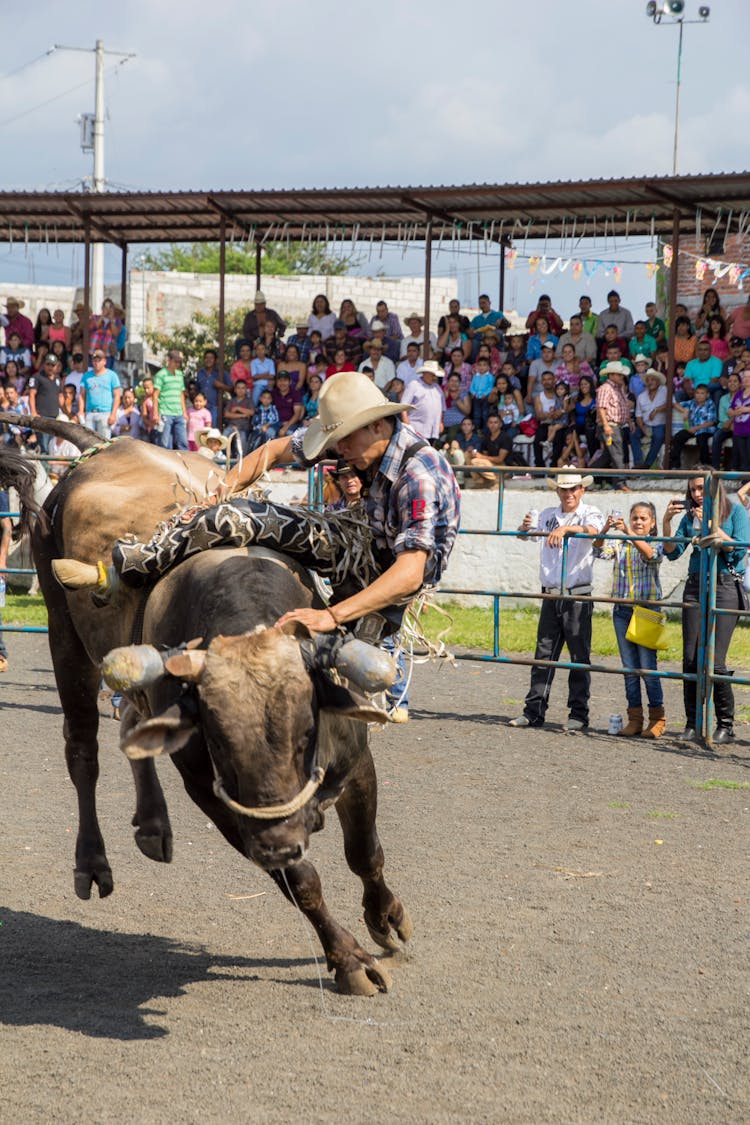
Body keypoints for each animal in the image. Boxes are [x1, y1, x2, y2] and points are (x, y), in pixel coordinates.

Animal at [0, 423, 411, 994]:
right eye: (218, 740)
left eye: (307, 733)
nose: (279, 842)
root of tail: (100, 445)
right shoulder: (211, 791)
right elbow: (301, 881)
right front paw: (348, 957)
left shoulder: (353, 757)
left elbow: (364, 851)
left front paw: (384, 916)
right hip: (63, 629)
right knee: (82, 748)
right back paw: (93, 862)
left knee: (133, 719)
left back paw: (152, 825)